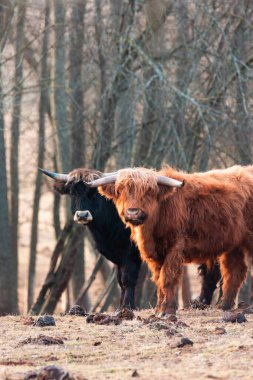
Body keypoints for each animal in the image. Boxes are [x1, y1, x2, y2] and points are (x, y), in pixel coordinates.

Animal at [85, 165, 253, 316]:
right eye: (120, 190)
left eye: (149, 191)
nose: (133, 213)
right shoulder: (155, 255)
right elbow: (159, 279)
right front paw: (159, 309)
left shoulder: (175, 248)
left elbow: (167, 278)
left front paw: (167, 311)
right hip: (233, 246)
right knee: (234, 271)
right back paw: (224, 306)